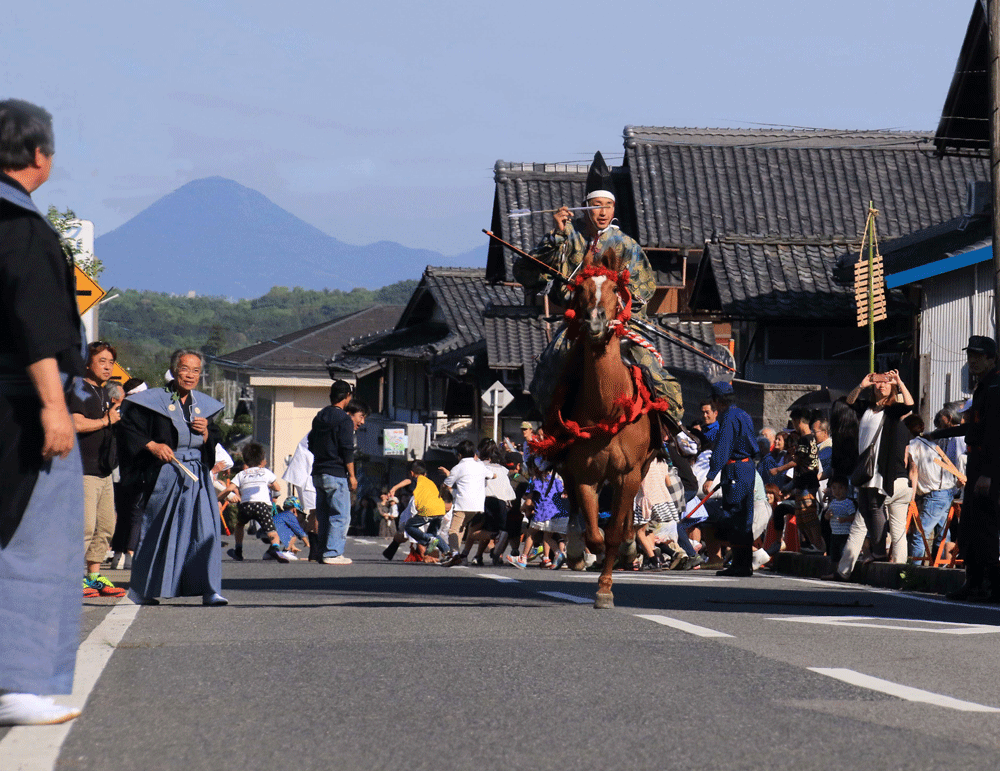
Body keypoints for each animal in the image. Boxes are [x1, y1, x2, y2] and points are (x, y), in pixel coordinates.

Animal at [537, 248, 665, 609]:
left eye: (613, 290)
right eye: (579, 291)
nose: (594, 321)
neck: (607, 408)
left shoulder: (628, 472)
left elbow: (613, 534)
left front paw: (606, 587)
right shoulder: (585, 473)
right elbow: (595, 533)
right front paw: (582, 551)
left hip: (642, 469)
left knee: (626, 518)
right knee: (578, 514)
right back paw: (576, 549)